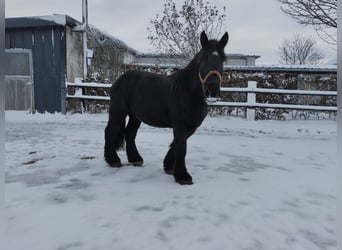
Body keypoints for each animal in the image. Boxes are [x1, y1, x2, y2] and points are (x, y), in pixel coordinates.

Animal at [103, 30, 228, 184]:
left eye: (222, 60)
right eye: (203, 60)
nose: (212, 90)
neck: (187, 91)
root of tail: (119, 79)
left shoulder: (191, 126)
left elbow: (176, 144)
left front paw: (169, 166)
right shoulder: (180, 124)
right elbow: (181, 146)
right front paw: (182, 176)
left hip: (135, 116)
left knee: (130, 133)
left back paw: (135, 159)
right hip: (118, 112)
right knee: (110, 131)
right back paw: (113, 160)